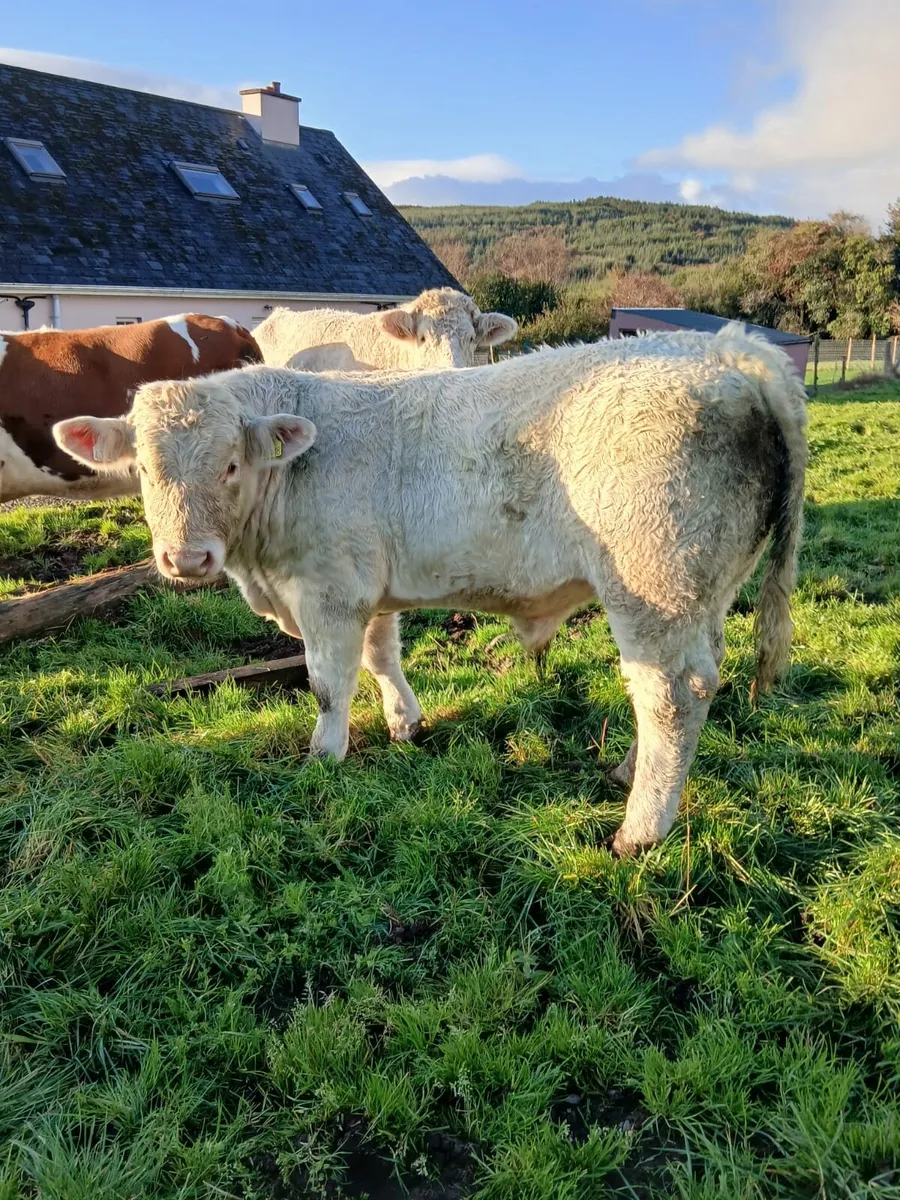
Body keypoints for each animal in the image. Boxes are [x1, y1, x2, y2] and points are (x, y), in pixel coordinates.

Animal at [54, 325, 807, 855]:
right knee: (693, 682)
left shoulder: (328, 591)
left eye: (231, 464)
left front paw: (324, 757)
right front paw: (404, 723)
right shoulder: (368, 586)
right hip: (706, 588)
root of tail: (727, 352)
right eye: (143, 469)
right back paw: (628, 770)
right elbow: (381, 656)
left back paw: (640, 830)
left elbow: (329, 682)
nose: (186, 559)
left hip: (653, 584)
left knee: (671, 694)